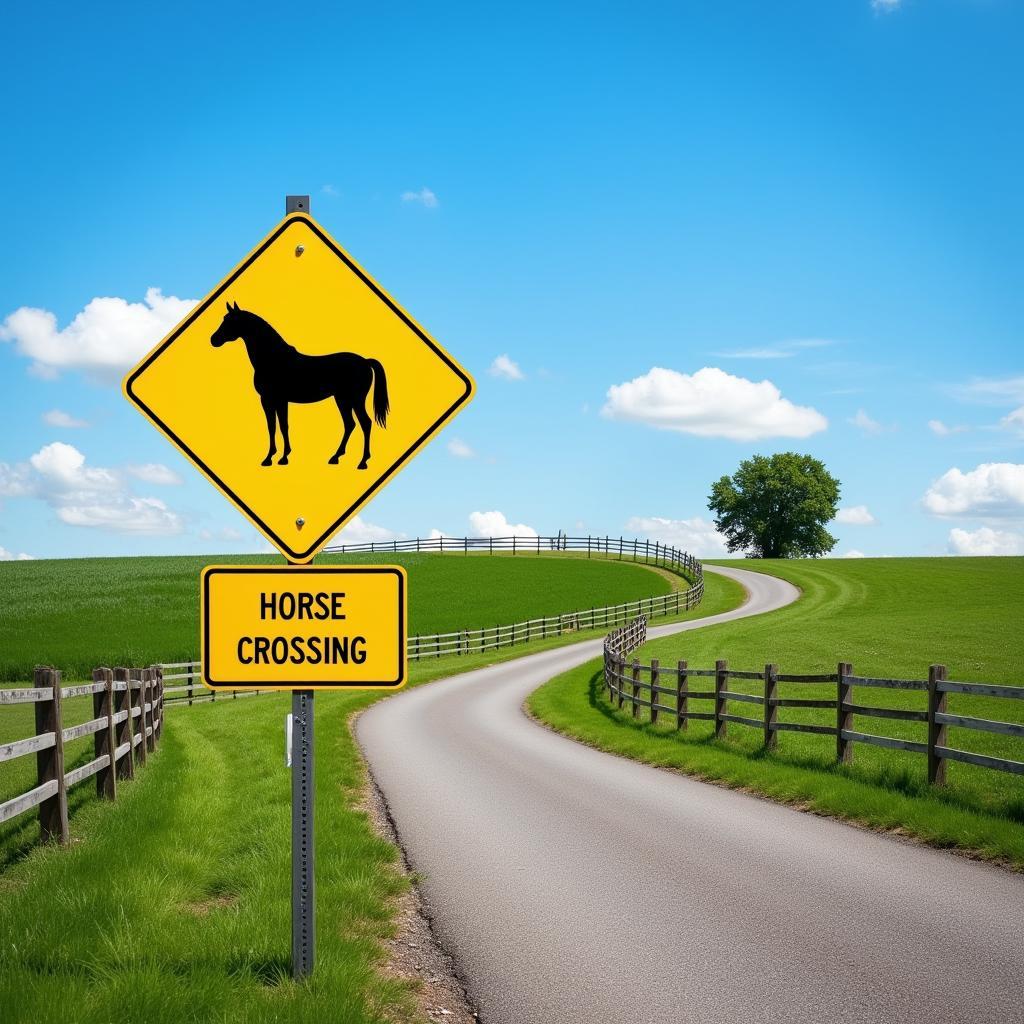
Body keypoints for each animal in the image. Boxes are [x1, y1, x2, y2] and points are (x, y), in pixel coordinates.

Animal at [211, 299, 387, 468]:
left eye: (230, 321)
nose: (213, 339)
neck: (273, 359)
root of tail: (365, 361)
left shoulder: (274, 399)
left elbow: (278, 426)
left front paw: (276, 458)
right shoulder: (274, 400)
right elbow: (276, 426)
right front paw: (277, 457)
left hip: (355, 400)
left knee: (365, 423)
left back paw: (363, 462)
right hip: (342, 399)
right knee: (350, 424)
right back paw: (336, 457)